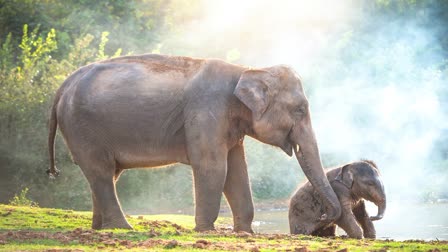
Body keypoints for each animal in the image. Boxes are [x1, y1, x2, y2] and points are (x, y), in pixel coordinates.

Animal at [47, 53, 340, 232]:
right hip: (83, 127)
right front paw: (205, 230)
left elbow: (237, 171)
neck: (246, 70)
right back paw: (123, 228)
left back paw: (100, 227)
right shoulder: (206, 112)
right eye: (300, 110)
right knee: (102, 172)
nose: (324, 217)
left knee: (105, 175)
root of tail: (63, 86)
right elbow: (213, 167)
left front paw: (243, 232)